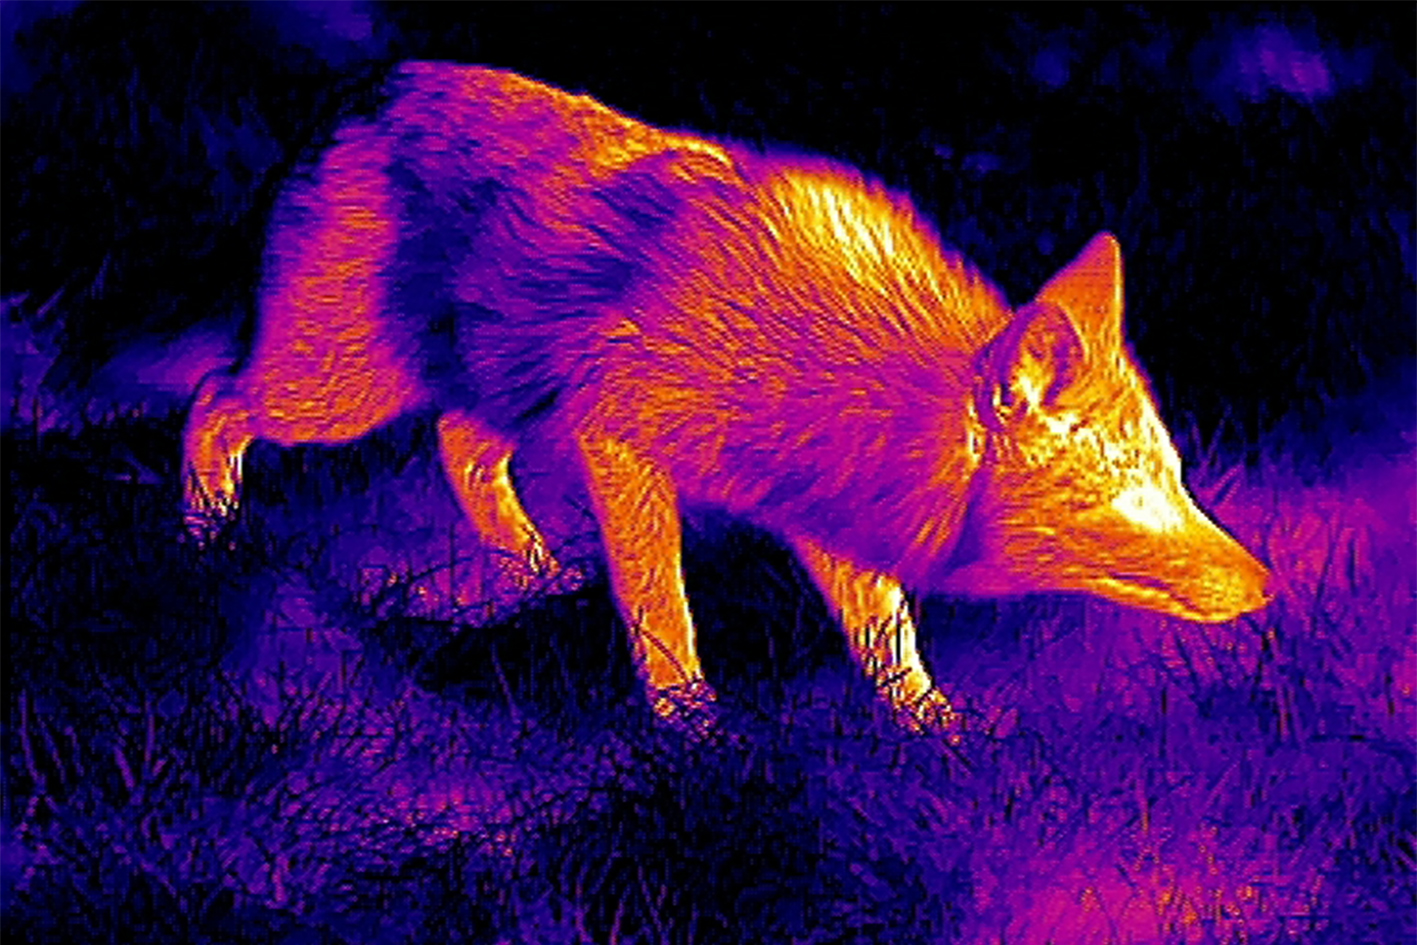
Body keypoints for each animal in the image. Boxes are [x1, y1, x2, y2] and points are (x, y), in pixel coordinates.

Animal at [183, 62, 1271, 730]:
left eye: (1175, 478)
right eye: (1122, 502)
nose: (1265, 583)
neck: (839, 363)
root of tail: (367, 86)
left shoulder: (828, 519)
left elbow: (888, 642)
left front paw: (941, 736)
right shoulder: (619, 441)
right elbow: (663, 607)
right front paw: (691, 729)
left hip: (485, 390)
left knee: (457, 446)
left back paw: (538, 577)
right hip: (335, 393)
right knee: (208, 396)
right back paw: (205, 540)